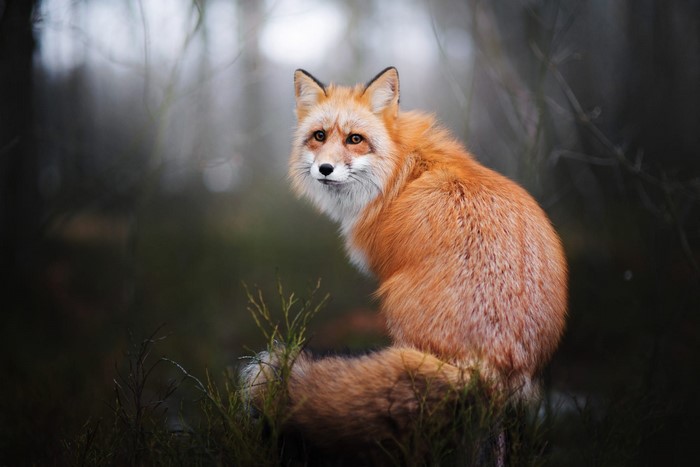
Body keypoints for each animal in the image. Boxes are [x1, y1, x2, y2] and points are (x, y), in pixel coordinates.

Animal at [241, 67, 568, 458]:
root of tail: (491, 364)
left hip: (394, 306)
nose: (325, 169)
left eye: (355, 139)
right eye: (319, 136)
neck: (402, 170)